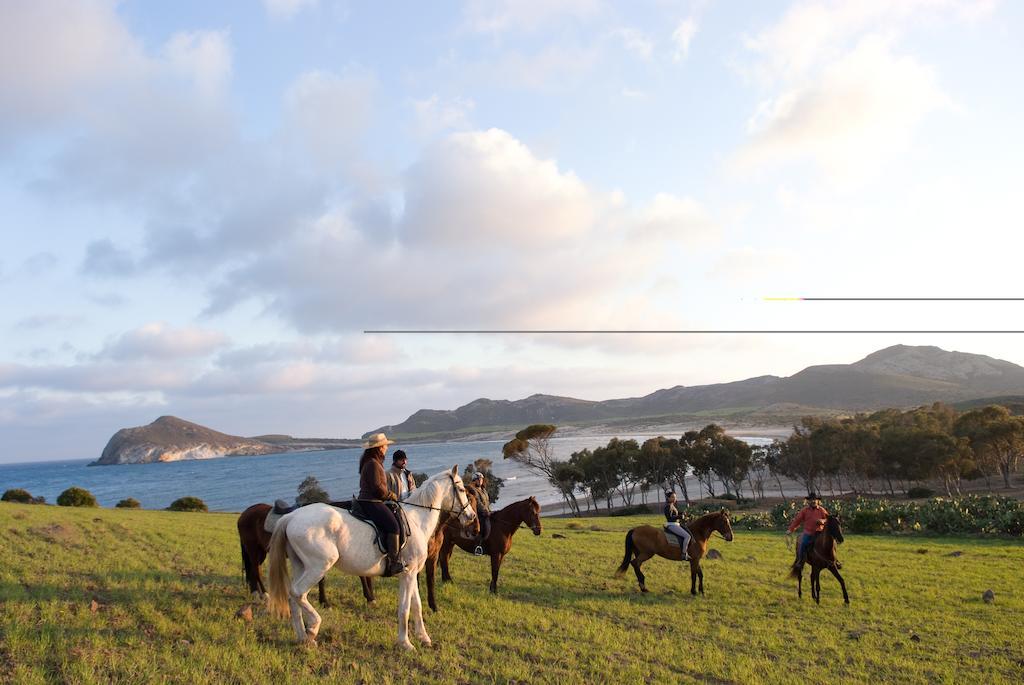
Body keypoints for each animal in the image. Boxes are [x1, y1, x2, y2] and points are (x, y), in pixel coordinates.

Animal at [268, 466, 475, 651]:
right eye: (462, 489)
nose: (471, 516)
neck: (417, 520)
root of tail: (291, 517)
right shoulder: (408, 574)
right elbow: (405, 609)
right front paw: (405, 643)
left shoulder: (411, 573)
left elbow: (417, 606)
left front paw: (424, 638)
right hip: (318, 567)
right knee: (297, 593)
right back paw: (312, 629)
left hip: (300, 566)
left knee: (292, 597)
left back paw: (303, 638)